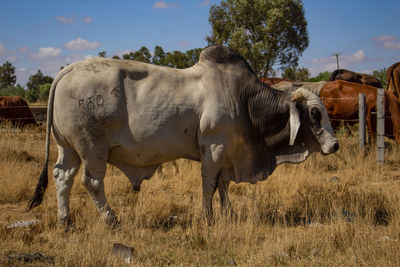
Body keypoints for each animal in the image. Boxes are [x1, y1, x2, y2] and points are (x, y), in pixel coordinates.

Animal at [28, 46, 340, 226]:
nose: (335, 145)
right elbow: (209, 184)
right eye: (315, 113)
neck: (244, 100)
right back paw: (111, 220)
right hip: (92, 149)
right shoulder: (214, 147)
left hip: (67, 148)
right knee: (92, 183)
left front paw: (229, 214)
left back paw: (65, 221)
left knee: (63, 177)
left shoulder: (227, 154)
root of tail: (67, 70)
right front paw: (208, 218)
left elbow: (223, 185)